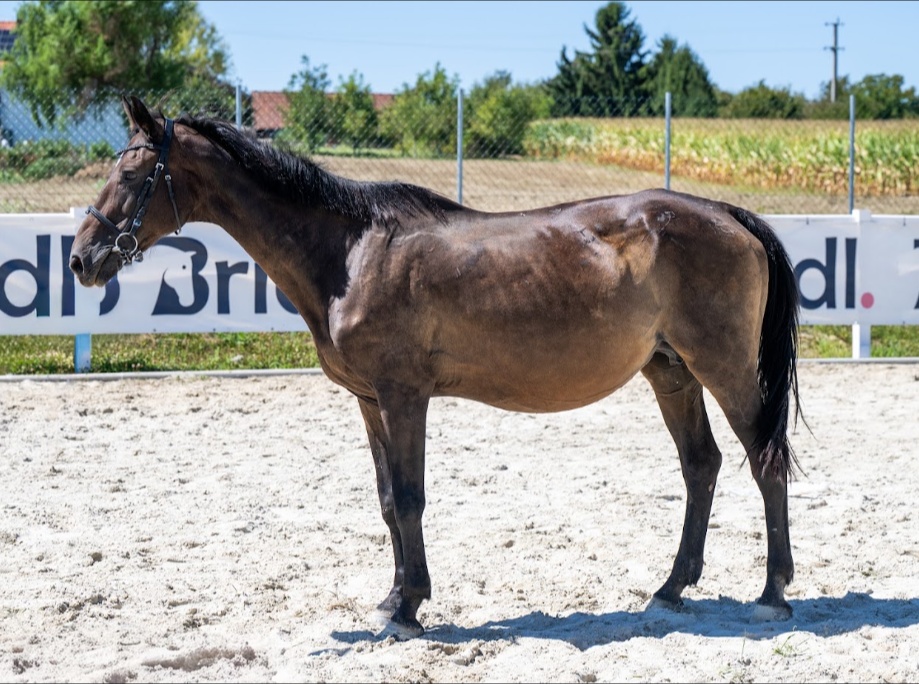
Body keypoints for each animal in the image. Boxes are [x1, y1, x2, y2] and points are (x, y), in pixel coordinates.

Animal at [70, 95, 803, 639]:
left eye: (132, 174)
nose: (81, 259)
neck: (352, 252)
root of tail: (727, 213)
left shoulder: (403, 395)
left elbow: (410, 497)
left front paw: (406, 607)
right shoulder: (369, 400)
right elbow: (387, 500)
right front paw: (394, 597)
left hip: (724, 368)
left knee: (763, 461)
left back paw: (772, 593)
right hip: (670, 371)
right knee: (701, 466)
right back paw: (670, 588)